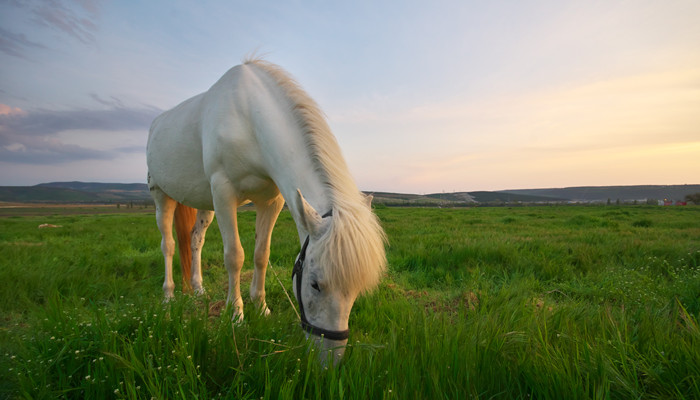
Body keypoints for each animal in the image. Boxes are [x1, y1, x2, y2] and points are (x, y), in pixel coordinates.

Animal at [147, 59, 386, 362]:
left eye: (356, 290)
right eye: (314, 284)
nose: (329, 361)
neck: (249, 118)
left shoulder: (271, 201)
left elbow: (262, 255)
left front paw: (261, 308)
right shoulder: (223, 192)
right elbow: (234, 256)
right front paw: (236, 315)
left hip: (204, 204)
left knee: (195, 240)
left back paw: (198, 289)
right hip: (161, 196)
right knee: (168, 244)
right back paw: (168, 296)